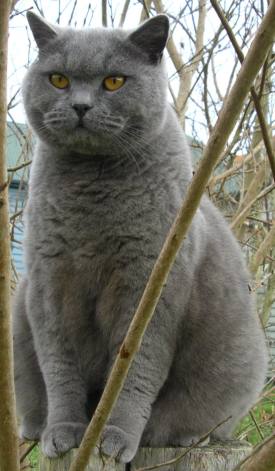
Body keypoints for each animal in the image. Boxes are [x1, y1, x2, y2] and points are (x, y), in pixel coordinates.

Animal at [13, 11, 270, 464]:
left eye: (114, 81)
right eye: (58, 79)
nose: (81, 106)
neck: (92, 189)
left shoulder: (150, 290)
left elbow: (136, 370)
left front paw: (114, 436)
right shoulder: (48, 284)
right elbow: (59, 365)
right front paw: (63, 432)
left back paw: (184, 436)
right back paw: (36, 425)